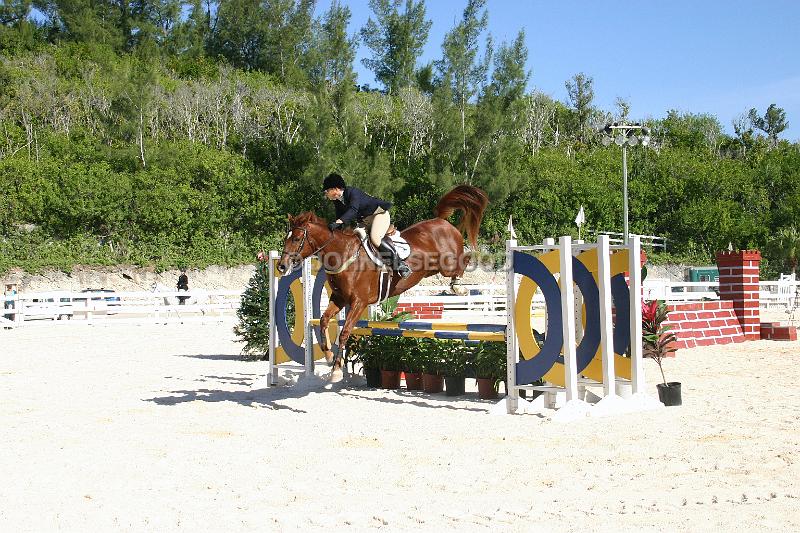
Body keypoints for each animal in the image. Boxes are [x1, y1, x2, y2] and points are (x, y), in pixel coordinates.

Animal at [276, 185, 488, 372]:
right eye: (286, 238)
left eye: (296, 239)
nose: (281, 266)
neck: (344, 254)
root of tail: (441, 221)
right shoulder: (339, 299)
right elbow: (323, 320)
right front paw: (328, 356)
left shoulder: (359, 302)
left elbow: (345, 332)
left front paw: (335, 370)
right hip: (433, 269)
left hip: (447, 265)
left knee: (465, 259)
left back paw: (459, 287)